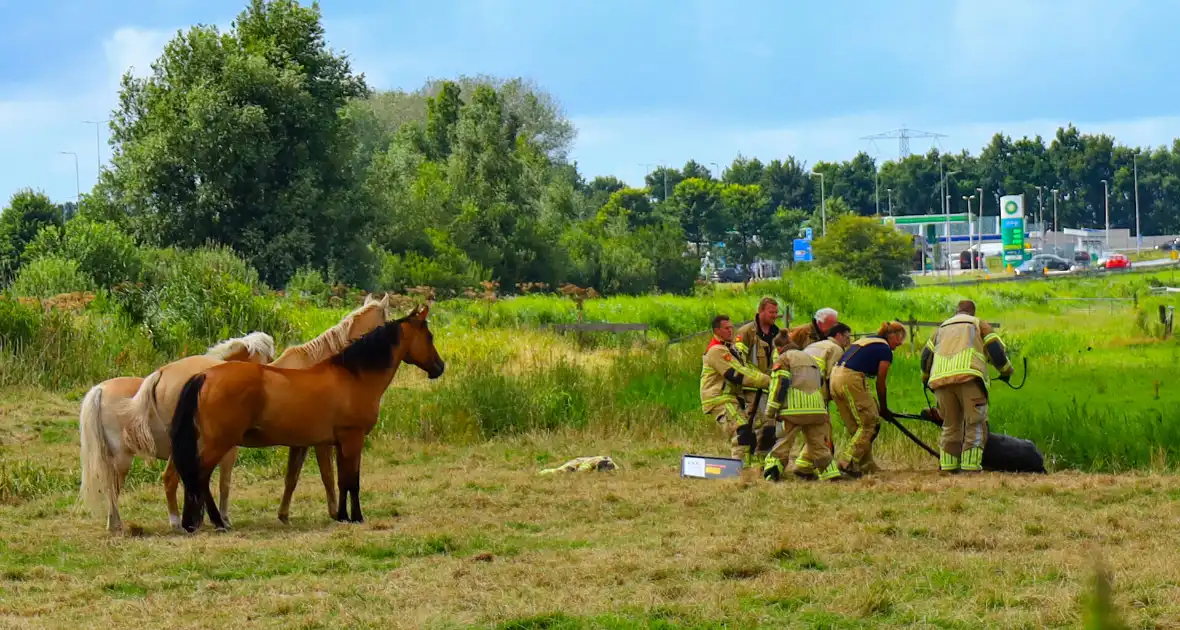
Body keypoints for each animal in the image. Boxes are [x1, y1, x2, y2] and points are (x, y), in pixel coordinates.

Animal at [78, 293, 392, 532]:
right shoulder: (319, 442)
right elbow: (326, 476)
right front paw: (334, 512)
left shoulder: (299, 443)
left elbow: (290, 479)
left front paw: (284, 514)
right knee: (148, 481)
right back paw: (173, 522)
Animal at [170, 304, 444, 533]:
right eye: (429, 337)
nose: (440, 367)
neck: (353, 376)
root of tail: (206, 375)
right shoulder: (353, 440)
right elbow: (352, 480)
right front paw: (357, 516)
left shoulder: (338, 443)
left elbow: (341, 480)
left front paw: (342, 516)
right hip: (218, 443)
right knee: (200, 476)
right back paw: (216, 522)